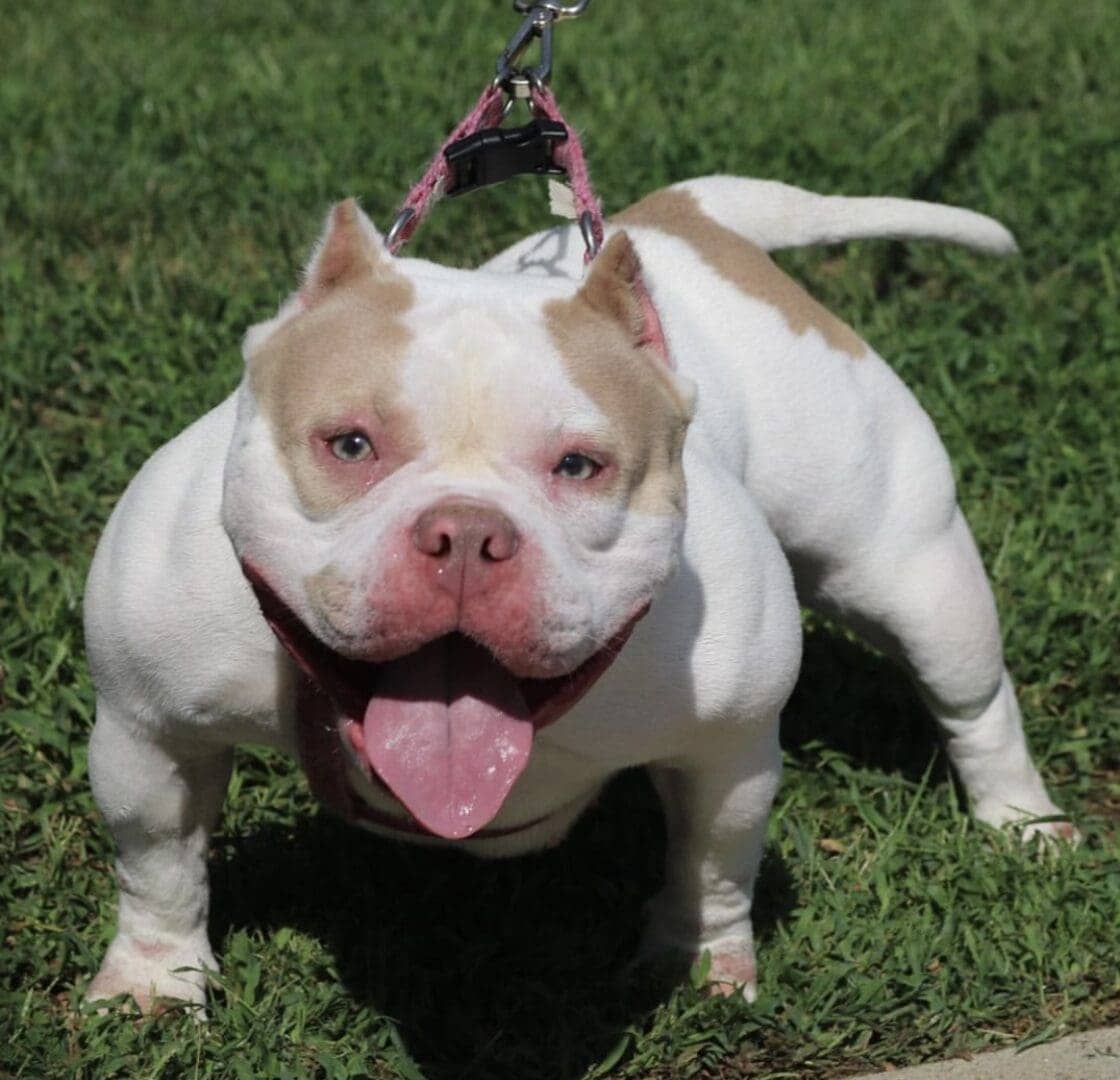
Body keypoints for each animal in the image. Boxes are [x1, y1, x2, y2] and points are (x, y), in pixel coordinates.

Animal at [82, 177, 1070, 1012]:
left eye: (579, 466)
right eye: (350, 444)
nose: (466, 535)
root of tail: (689, 214)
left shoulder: (728, 748)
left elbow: (711, 864)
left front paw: (699, 958)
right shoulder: (149, 731)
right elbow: (160, 862)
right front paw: (156, 982)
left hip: (909, 570)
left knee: (973, 700)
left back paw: (1022, 821)